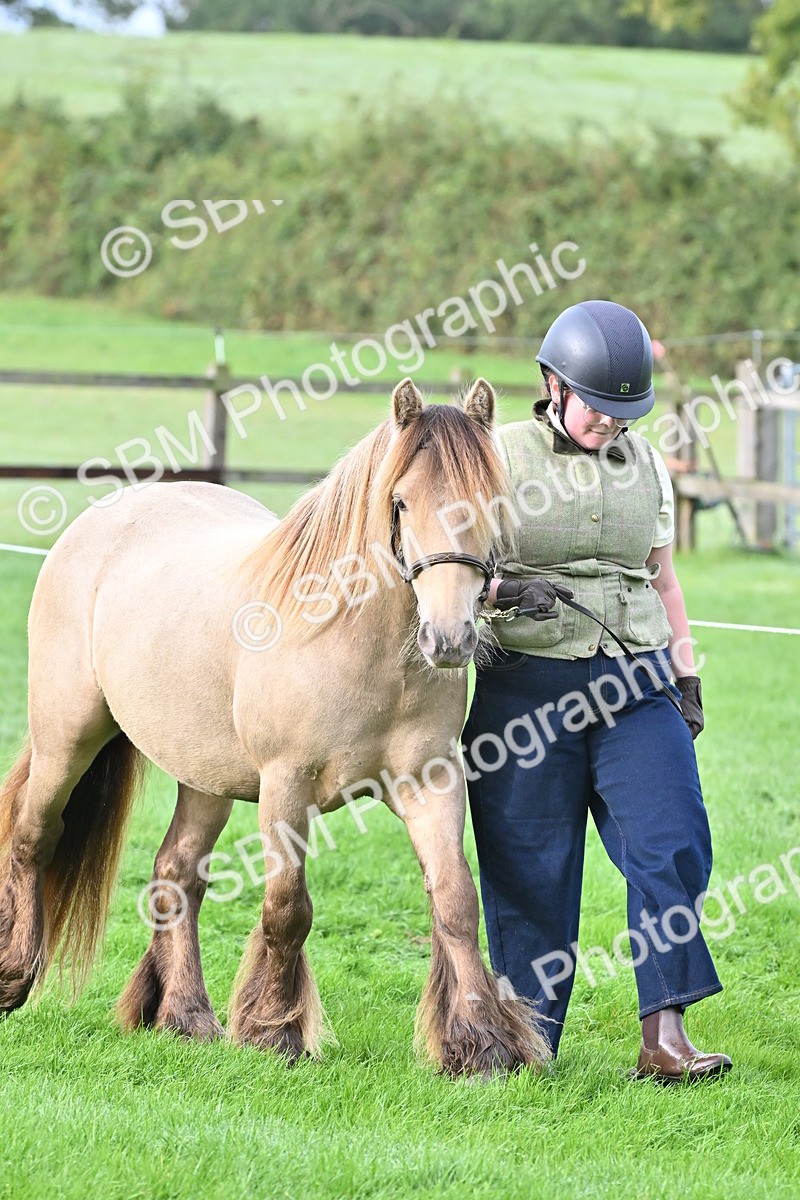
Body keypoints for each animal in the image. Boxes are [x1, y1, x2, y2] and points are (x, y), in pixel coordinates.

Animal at [0, 377, 550, 1078]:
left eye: (494, 502)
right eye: (400, 502)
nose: (449, 638)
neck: (355, 643)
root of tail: (101, 520)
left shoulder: (430, 783)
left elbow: (455, 900)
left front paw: (481, 1044)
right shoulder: (285, 787)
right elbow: (288, 907)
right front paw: (274, 1030)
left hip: (203, 776)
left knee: (176, 874)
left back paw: (185, 1016)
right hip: (68, 738)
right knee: (33, 835)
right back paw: (14, 976)